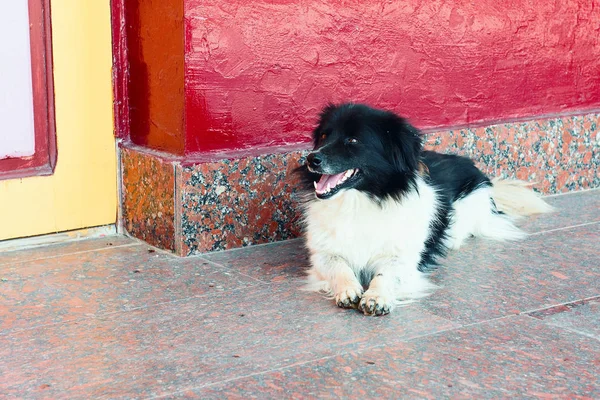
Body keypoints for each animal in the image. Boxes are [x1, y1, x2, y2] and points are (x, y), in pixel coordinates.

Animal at [298, 102, 552, 316]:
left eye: (352, 140)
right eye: (324, 135)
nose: (312, 158)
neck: (359, 203)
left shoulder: (402, 257)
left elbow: (386, 274)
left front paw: (377, 296)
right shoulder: (322, 255)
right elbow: (339, 267)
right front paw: (348, 289)